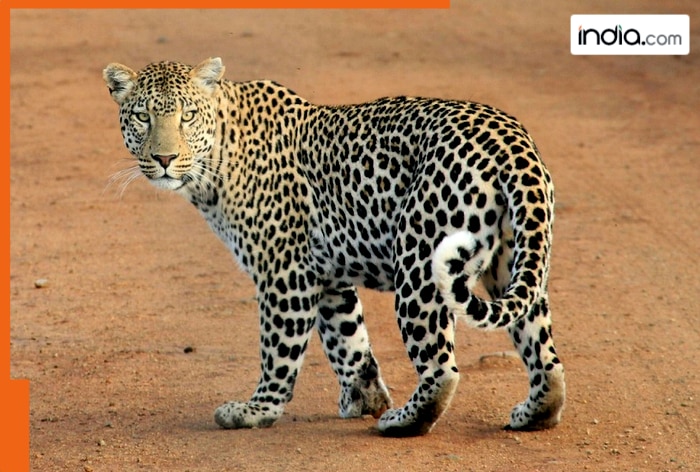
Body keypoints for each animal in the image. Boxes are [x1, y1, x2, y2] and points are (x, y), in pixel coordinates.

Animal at [103, 57, 565, 437]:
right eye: (143, 117)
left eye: (187, 117)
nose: (164, 159)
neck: (216, 160)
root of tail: (511, 140)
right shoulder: (326, 275)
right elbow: (349, 341)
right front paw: (364, 397)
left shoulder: (285, 272)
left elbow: (279, 349)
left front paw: (257, 410)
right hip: (514, 260)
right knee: (544, 353)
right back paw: (534, 413)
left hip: (420, 263)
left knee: (441, 368)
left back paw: (402, 421)